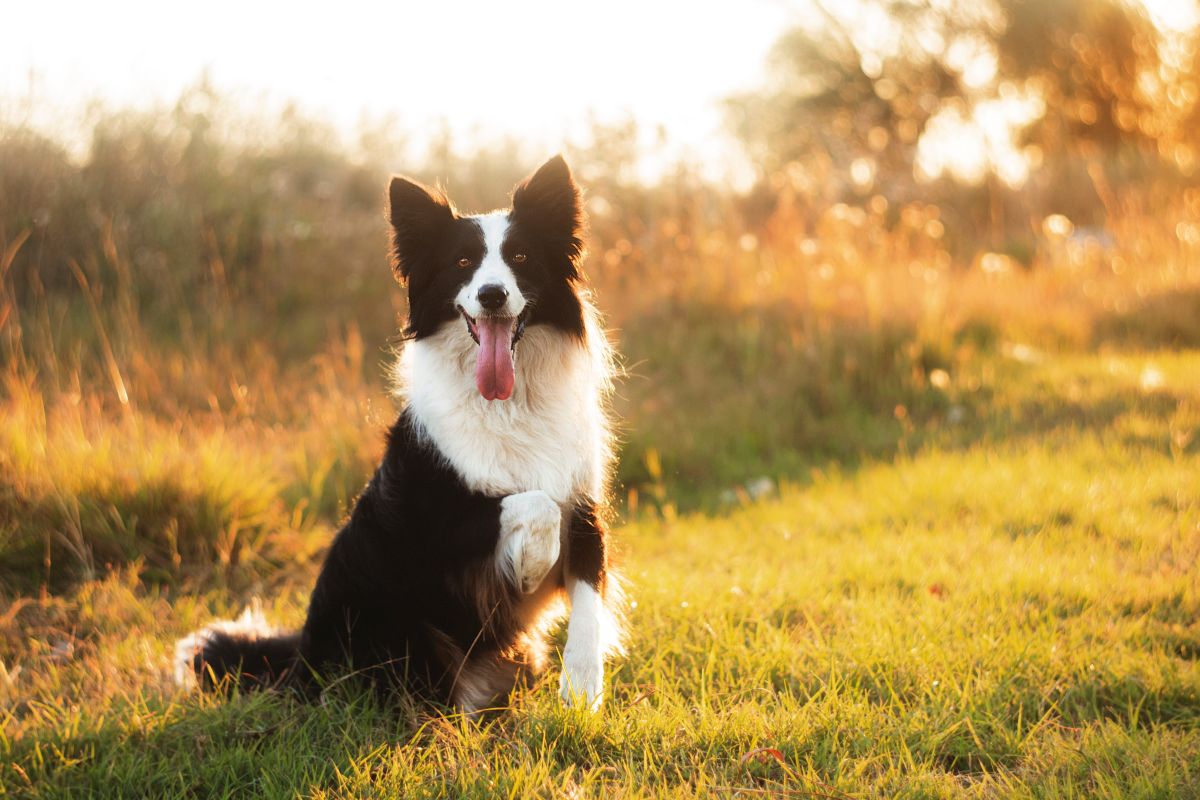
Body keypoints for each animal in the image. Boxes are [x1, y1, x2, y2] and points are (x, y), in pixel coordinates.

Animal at [180, 155, 628, 714]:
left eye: (521, 256)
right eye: (462, 262)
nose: (492, 294)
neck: (510, 403)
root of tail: (298, 662)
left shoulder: (584, 505)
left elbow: (588, 599)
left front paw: (582, 691)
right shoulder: (431, 518)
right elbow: (532, 502)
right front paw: (528, 569)